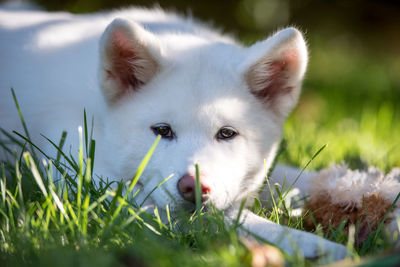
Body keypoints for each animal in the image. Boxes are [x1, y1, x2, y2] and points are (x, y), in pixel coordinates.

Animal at [0, 5, 346, 260]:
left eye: (227, 133)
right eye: (162, 130)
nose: (193, 187)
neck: (102, 118)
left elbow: (301, 177)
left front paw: (351, 183)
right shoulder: (96, 182)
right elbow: (228, 219)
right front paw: (309, 244)